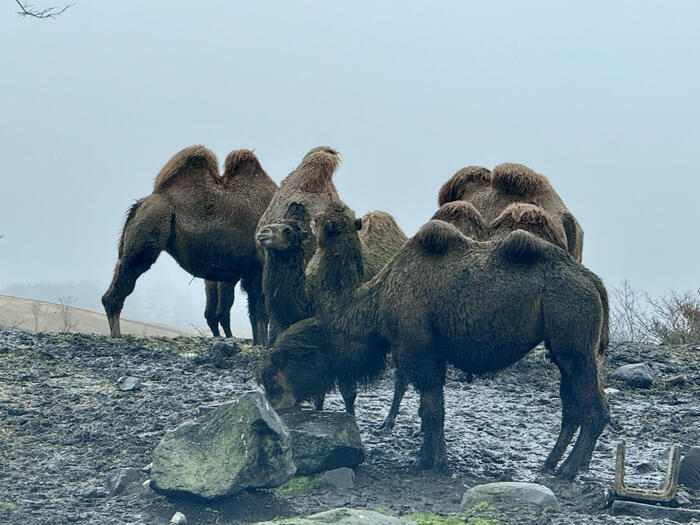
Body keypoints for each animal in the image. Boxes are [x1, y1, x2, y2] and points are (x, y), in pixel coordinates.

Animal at [102, 146, 278, 344]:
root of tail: (139, 204)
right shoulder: (260, 266)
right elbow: (261, 311)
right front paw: (263, 344)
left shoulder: (250, 271)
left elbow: (254, 311)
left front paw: (258, 342)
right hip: (150, 224)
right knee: (126, 277)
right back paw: (117, 335)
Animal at [260, 202, 608, 478]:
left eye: (311, 224)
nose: (273, 399)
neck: (376, 300)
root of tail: (593, 280)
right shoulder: (429, 353)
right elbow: (433, 410)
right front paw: (434, 459)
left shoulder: (417, 350)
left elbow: (430, 410)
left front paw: (426, 462)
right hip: (563, 346)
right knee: (572, 405)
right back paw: (550, 464)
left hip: (574, 335)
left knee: (593, 408)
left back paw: (568, 470)